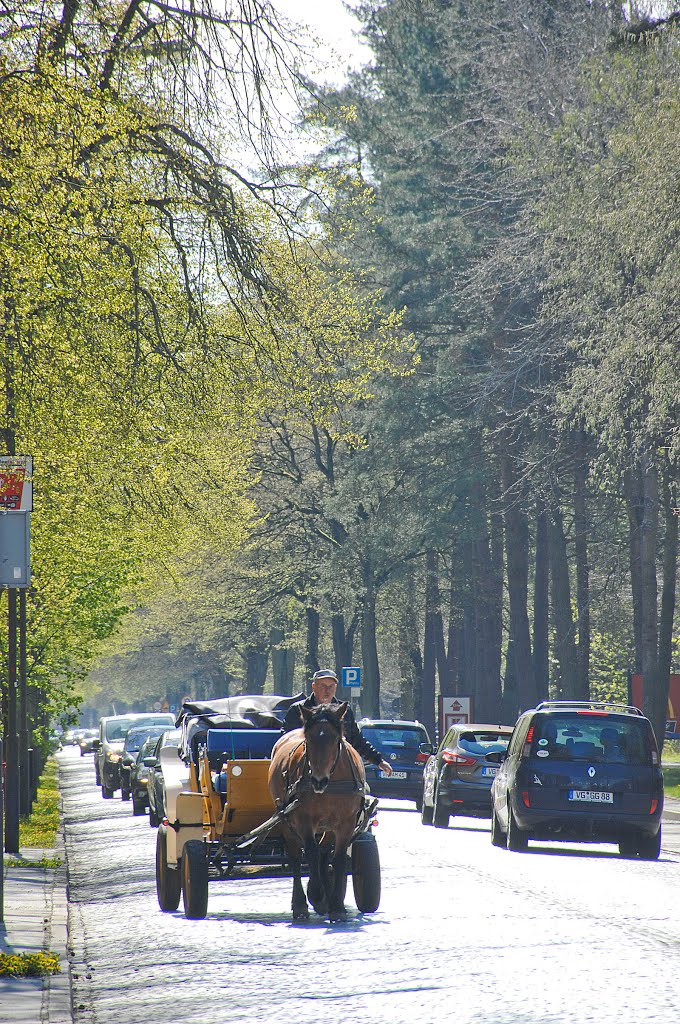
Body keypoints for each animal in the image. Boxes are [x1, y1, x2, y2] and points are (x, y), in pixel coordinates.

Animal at [268, 700, 368, 925]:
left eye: (336, 739)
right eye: (309, 739)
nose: (318, 781)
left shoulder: (346, 822)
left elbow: (337, 858)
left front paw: (336, 906)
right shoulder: (303, 820)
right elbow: (311, 853)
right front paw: (315, 893)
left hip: (328, 826)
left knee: (324, 853)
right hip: (285, 819)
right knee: (297, 858)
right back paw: (301, 904)